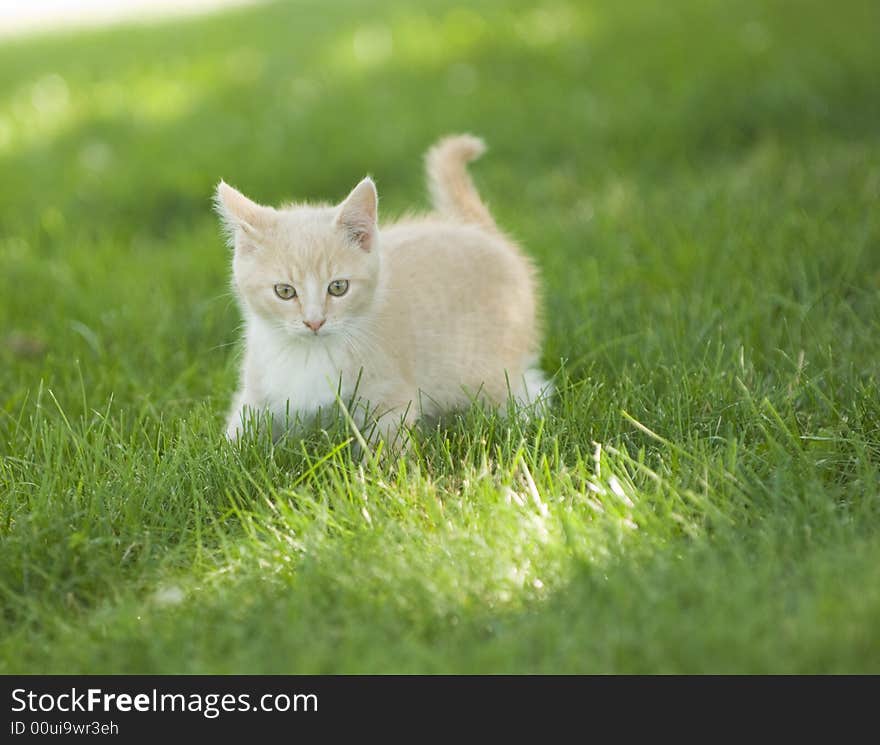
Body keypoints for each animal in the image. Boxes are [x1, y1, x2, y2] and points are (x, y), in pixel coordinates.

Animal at [215, 134, 552, 448]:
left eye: (338, 287)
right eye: (285, 291)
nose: (314, 322)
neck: (309, 353)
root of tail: (482, 231)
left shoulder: (389, 396)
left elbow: (385, 448)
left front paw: (380, 472)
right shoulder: (257, 392)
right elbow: (235, 436)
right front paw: (223, 457)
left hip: (489, 368)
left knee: (529, 391)